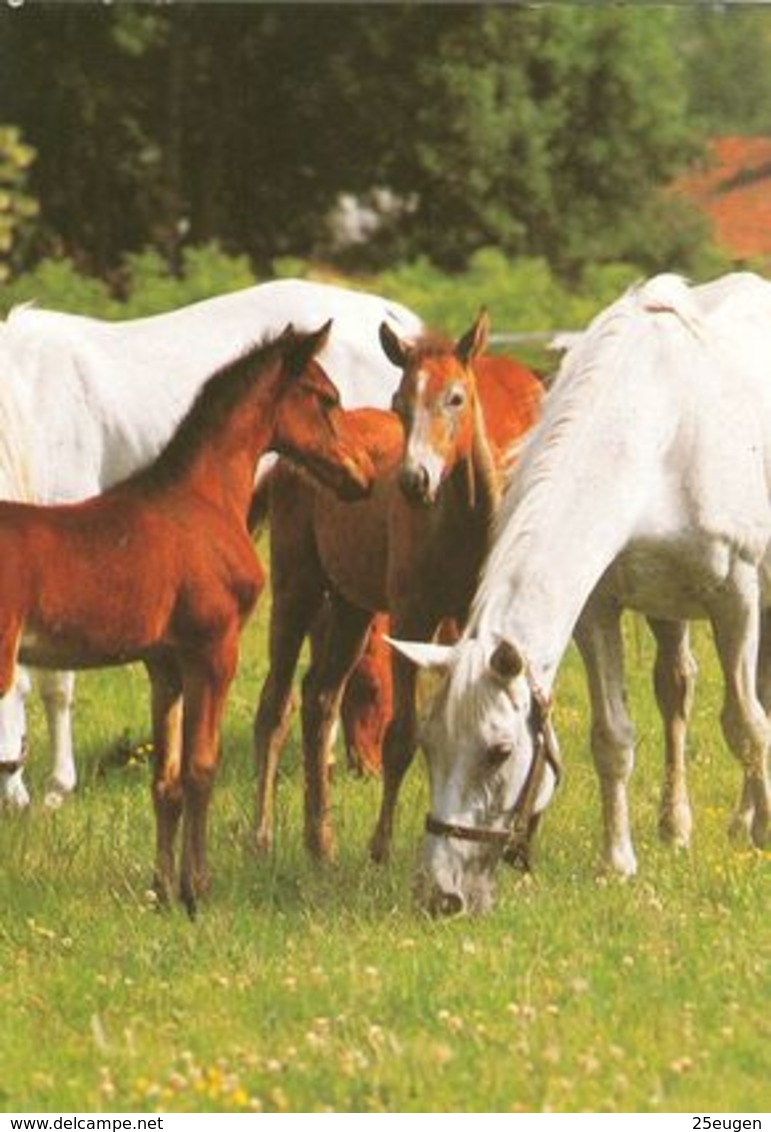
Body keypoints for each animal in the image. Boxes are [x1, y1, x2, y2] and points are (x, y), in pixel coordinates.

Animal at [0, 323, 371, 914]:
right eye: (328, 398)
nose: (362, 474)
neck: (202, 499)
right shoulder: (213, 653)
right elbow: (201, 769)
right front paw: (197, 889)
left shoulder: (165, 668)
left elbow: (166, 782)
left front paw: (162, 888)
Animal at [253, 310, 541, 855]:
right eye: (398, 402)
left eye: (456, 397)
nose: (414, 481)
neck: (458, 527)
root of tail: (287, 460)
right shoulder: (411, 619)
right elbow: (402, 735)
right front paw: (381, 847)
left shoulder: (463, 626)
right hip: (297, 589)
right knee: (275, 706)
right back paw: (262, 836)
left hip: (352, 607)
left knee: (319, 698)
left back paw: (320, 842)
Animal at [391, 273, 769, 919]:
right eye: (428, 744)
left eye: (498, 751)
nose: (440, 896)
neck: (661, 436)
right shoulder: (599, 610)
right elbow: (612, 737)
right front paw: (616, 863)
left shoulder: (737, 601)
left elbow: (746, 726)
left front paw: (764, 834)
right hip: (669, 608)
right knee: (677, 690)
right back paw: (677, 827)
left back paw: (744, 822)